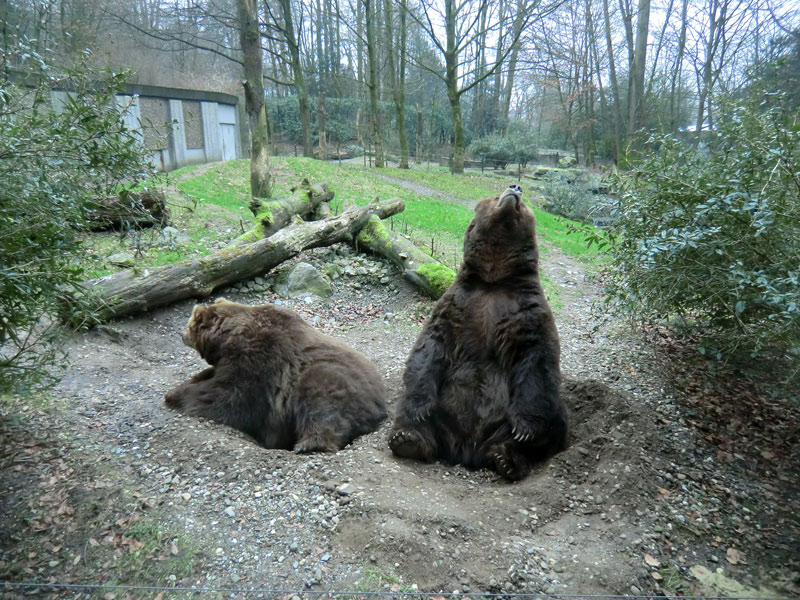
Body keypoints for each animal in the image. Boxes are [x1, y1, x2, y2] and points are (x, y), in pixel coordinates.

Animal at [165, 298, 388, 452]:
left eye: (189, 324)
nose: (181, 334)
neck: (228, 338)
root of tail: (380, 400)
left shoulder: (260, 357)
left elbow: (230, 397)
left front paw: (175, 395)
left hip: (332, 378)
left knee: (321, 400)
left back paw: (310, 444)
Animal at [390, 185, 568, 480]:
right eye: (495, 197)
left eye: (525, 206)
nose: (515, 188)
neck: (494, 281)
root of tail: (466, 451)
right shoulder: (458, 305)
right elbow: (429, 348)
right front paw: (418, 407)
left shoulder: (528, 311)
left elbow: (536, 359)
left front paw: (525, 428)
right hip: (443, 408)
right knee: (410, 408)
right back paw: (409, 439)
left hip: (521, 417)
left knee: (554, 423)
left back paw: (506, 458)